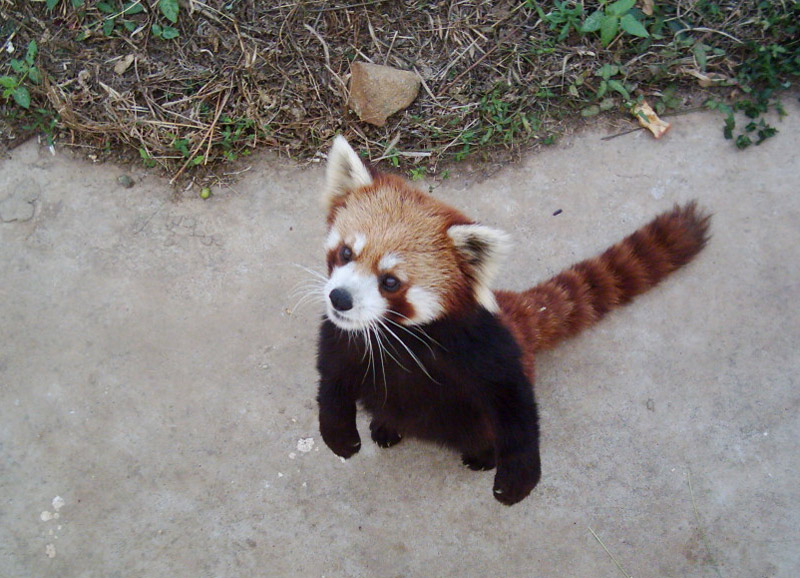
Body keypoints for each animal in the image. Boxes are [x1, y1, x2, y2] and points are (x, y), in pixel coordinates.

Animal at [316, 135, 708, 504]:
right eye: (347, 252)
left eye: (390, 282)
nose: (341, 298)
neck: (395, 336)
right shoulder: (339, 337)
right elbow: (332, 381)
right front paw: (339, 436)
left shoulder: (482, 349)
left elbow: (514, 401)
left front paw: (516, 478)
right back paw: (385, 426)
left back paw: (482, 456)